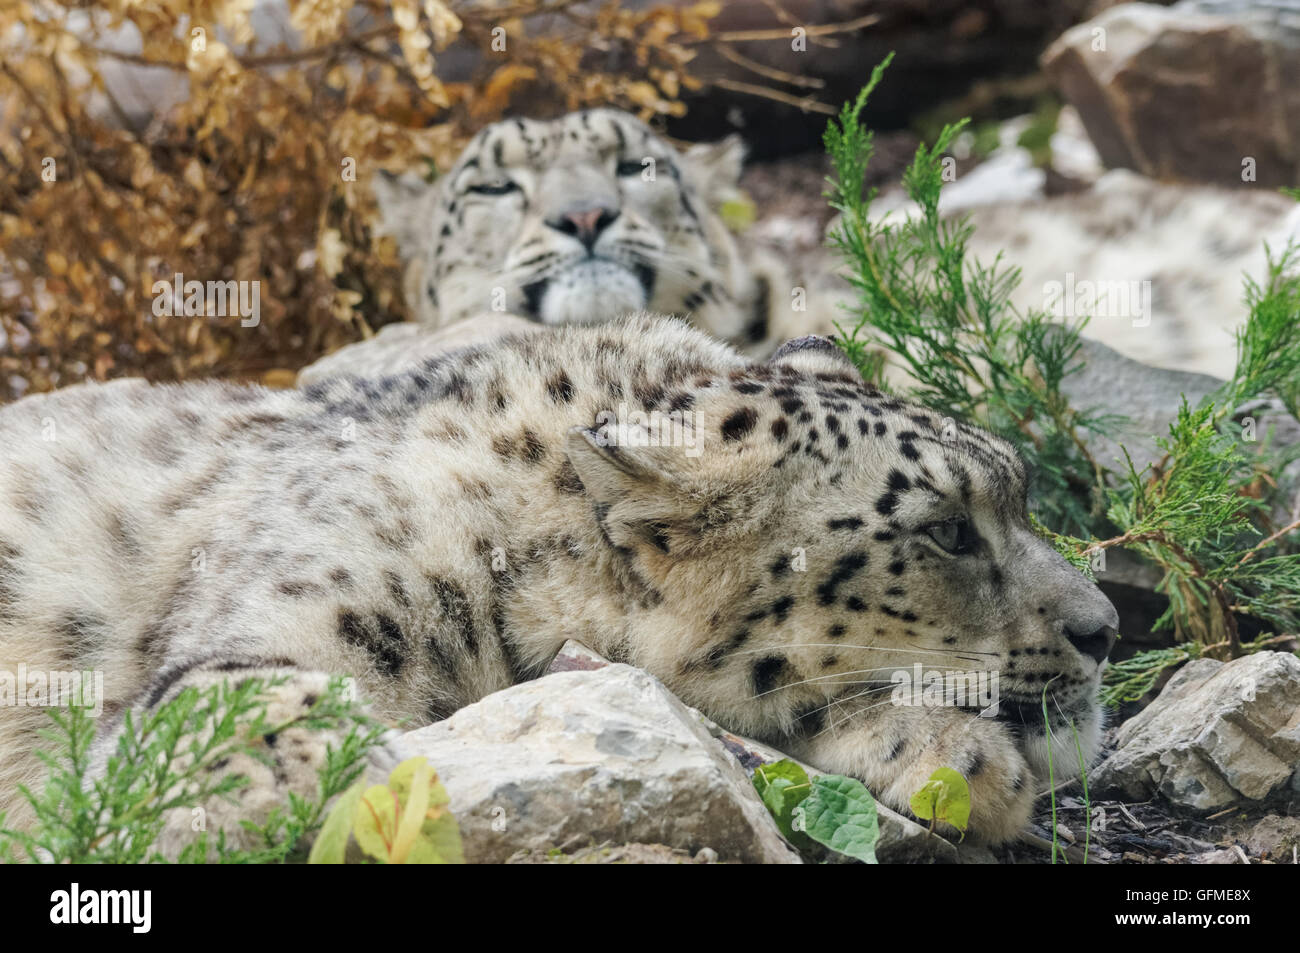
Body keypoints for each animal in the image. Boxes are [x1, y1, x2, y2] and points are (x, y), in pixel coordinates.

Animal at [0, 315, 1118, 852]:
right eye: (945, 530)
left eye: (1018, 494)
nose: (1106, 626)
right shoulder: (288, 619)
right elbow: (250, 703)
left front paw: (951, 756)